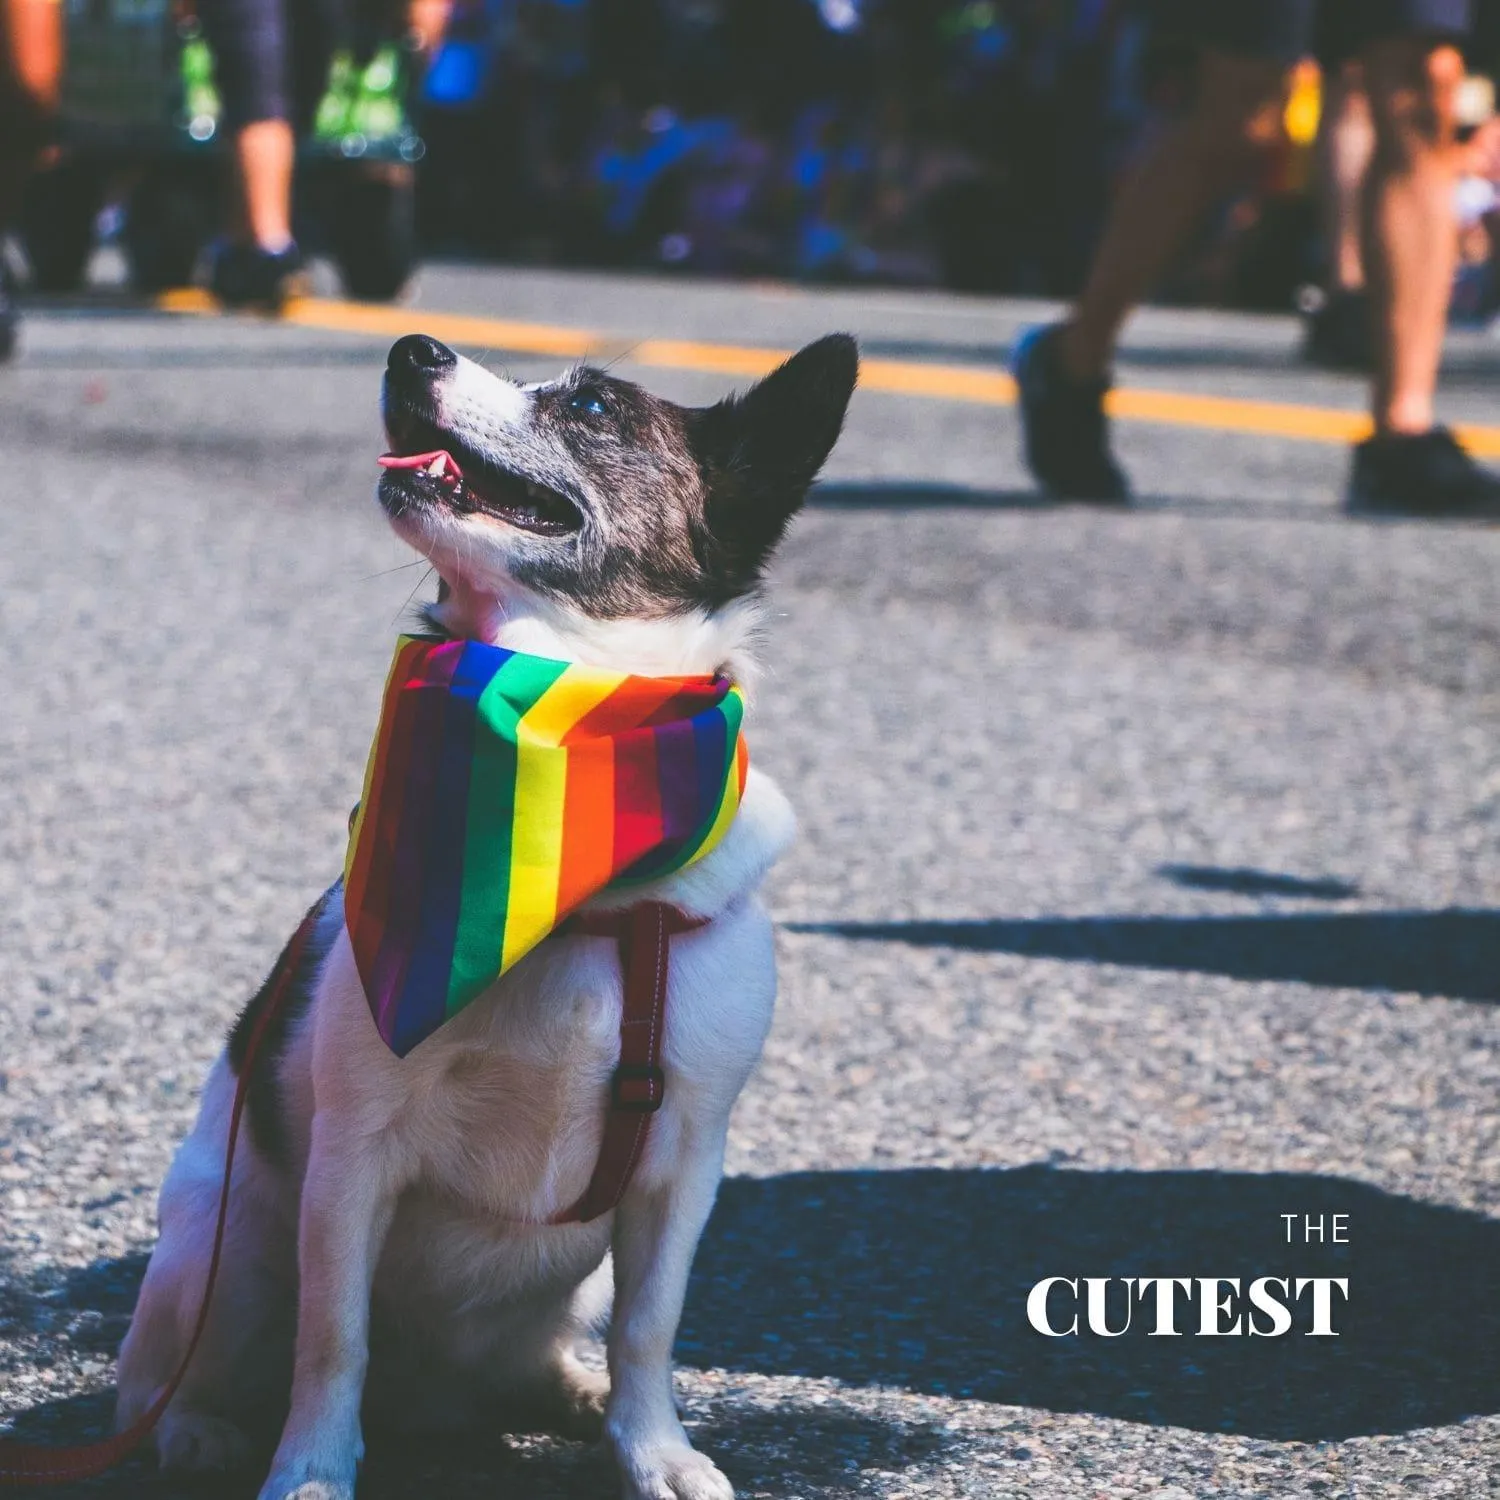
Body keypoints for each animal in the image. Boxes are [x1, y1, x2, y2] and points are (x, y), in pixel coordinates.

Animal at [117, 331, 864, 1500]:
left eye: (593, 406)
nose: (409, 348)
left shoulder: (681, 1171)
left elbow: (651, 1328)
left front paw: (653, 1450)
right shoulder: (352, 1163)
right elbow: (332, 1336)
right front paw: (314, 1470)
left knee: (559, 1345)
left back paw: (572, 1394)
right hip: (221, 1249)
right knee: (166, 1374)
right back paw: (196, 1432)